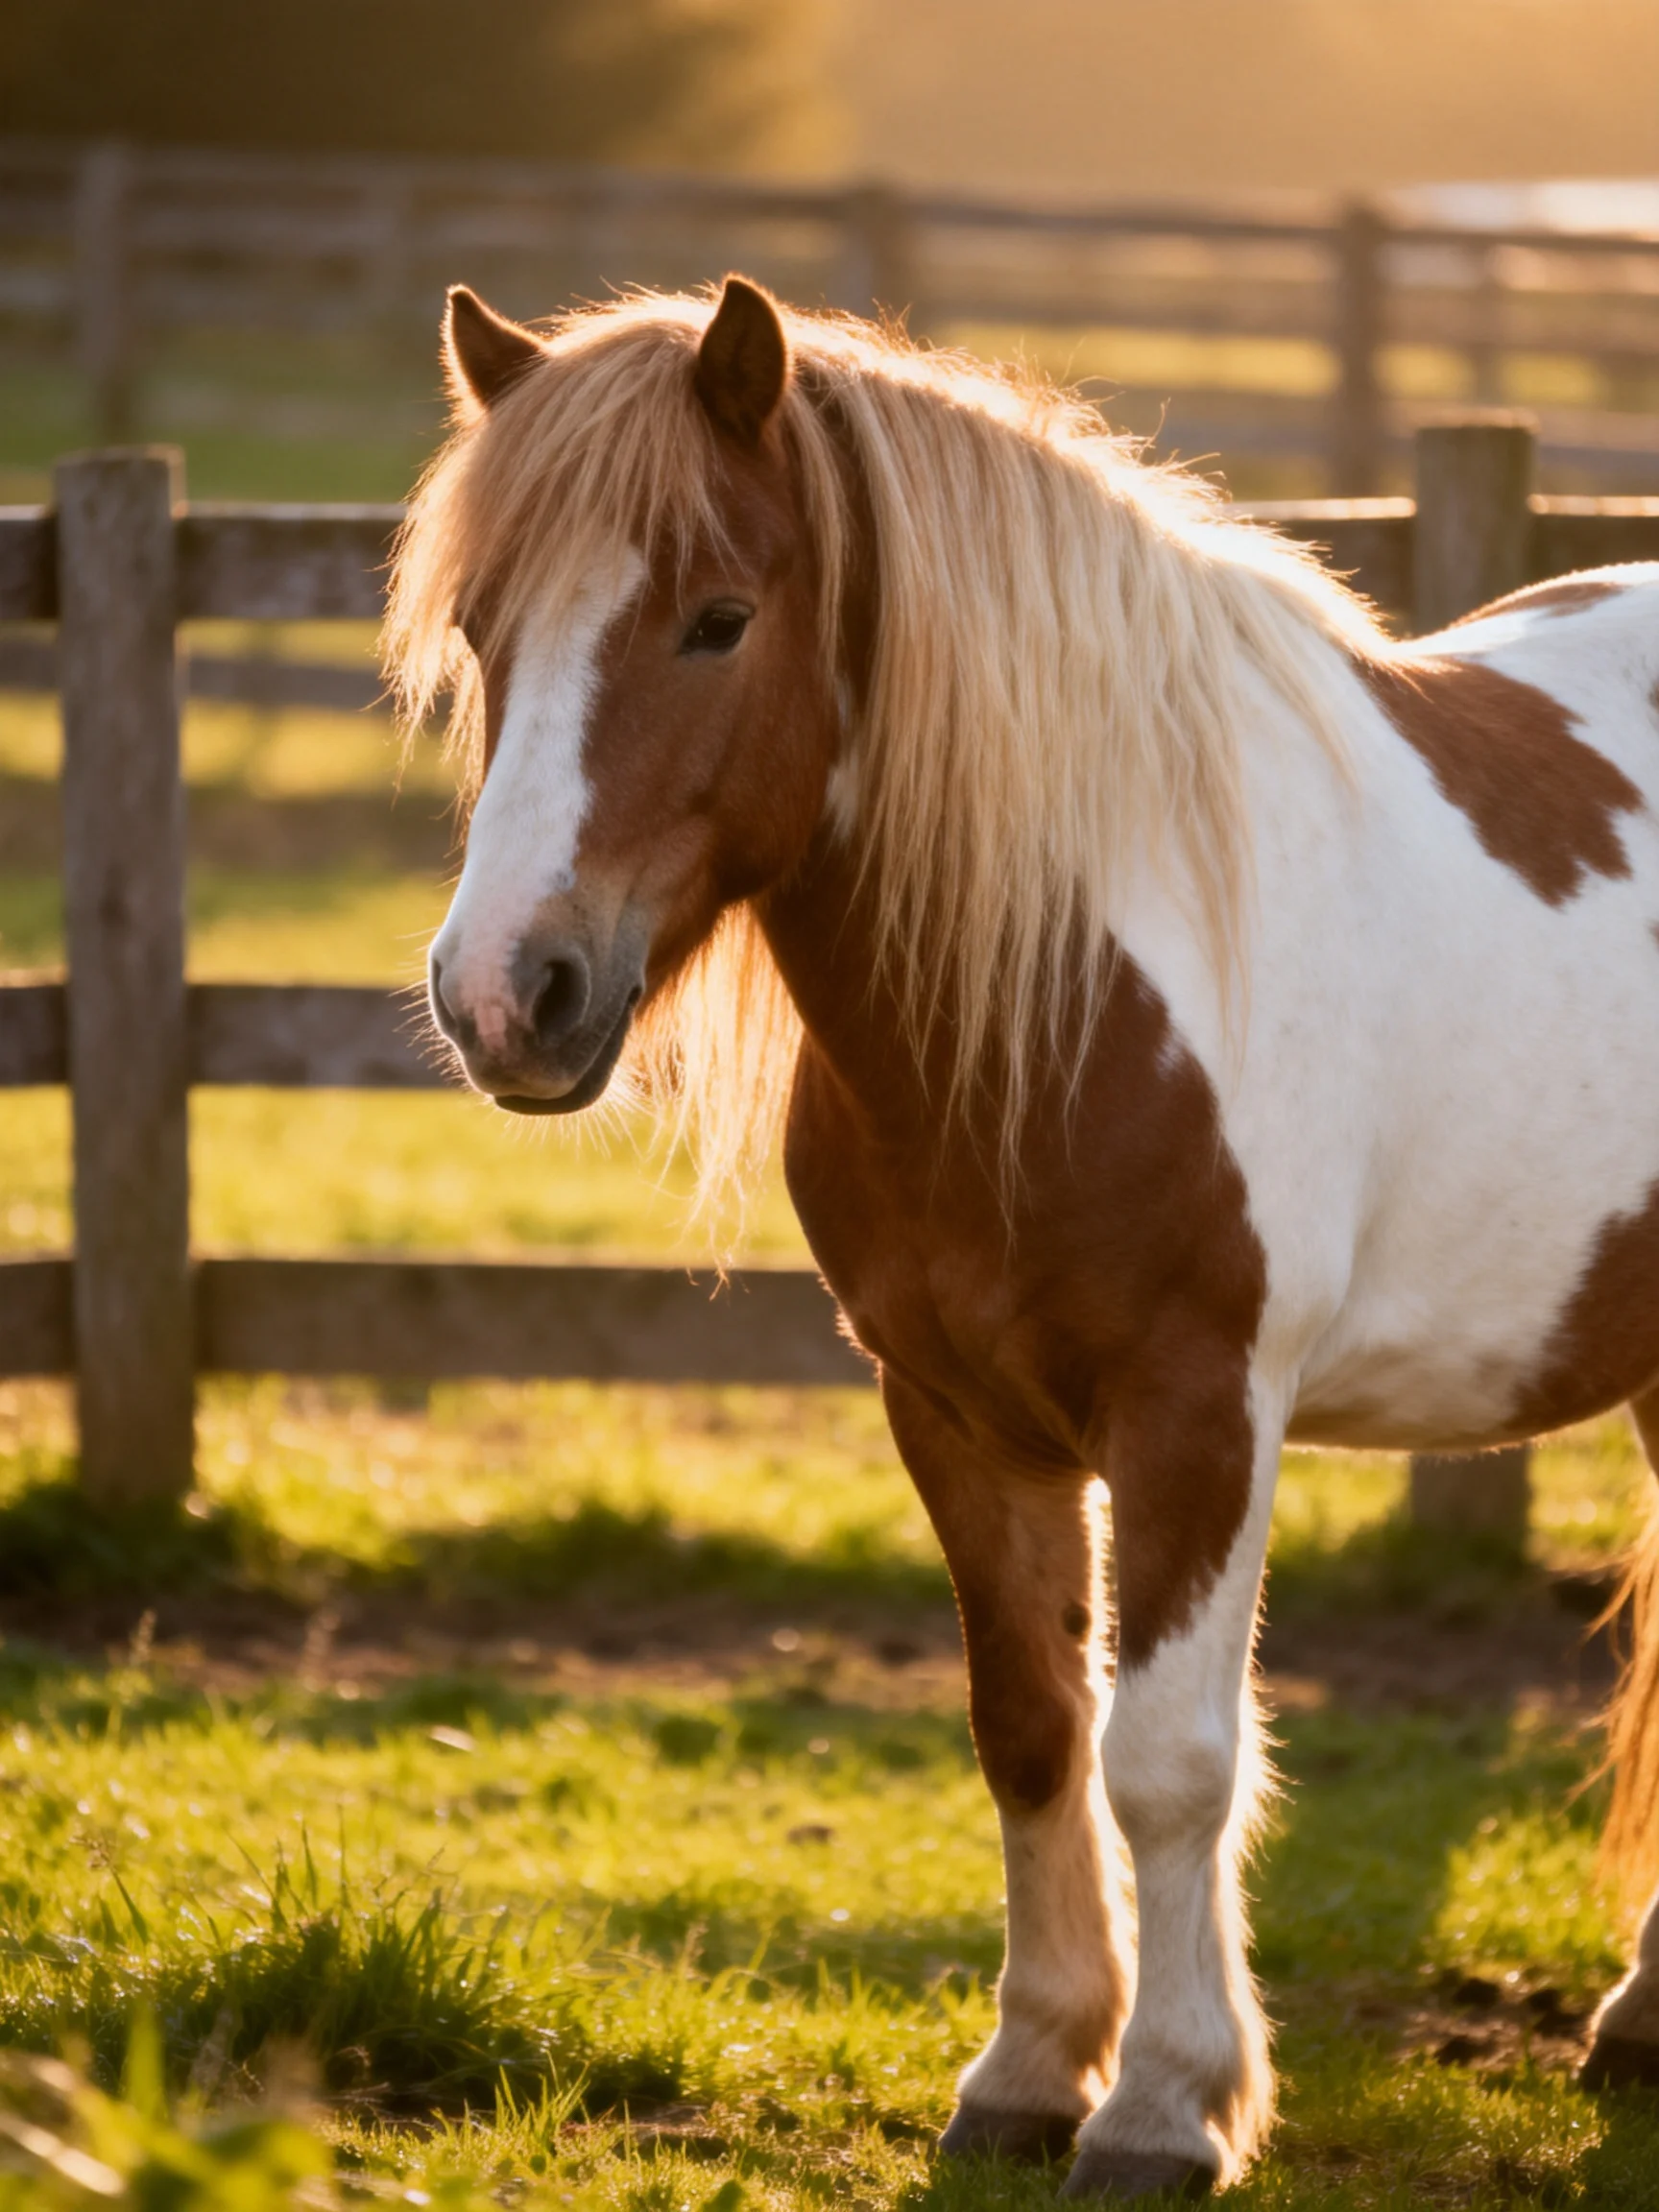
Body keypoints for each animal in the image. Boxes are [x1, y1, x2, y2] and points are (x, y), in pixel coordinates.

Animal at [386, 273, 1659, 2198]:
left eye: (717, 620)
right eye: (482, 629)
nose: (499, 994)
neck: (1066, 980)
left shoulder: (1198, 1413)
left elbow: (1170, 1759)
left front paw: (1164, 2106)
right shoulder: (956, 1410)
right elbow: (1030, 1726)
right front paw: (1033, 2069)